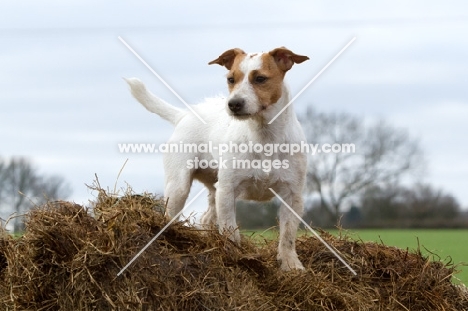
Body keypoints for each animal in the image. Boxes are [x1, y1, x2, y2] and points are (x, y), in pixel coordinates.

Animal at [128, 47, 308, 270]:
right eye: (231, 79)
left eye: (260, 79)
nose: (233, 104)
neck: (263, 136)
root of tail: (184, 115)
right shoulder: (228, 190)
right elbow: (230, 230)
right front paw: (236, 257)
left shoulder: (293, 195)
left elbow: (288, 235)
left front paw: (291, 265)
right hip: (180, 187)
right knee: (170, 215)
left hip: (214, 189)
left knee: (206, 219)